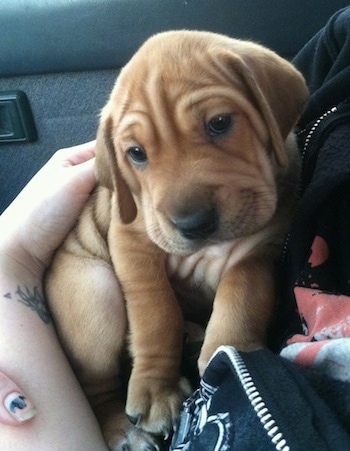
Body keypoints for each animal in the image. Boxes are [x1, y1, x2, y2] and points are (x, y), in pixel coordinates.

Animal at [45, 30, 308, 450]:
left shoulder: (261, 249)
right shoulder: (131, 241)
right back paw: (123, 431)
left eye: (219, 123)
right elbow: (156, 312)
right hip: (94, 293)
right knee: (94, 388)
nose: (194, 223)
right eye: (136, 154)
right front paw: (157, 387)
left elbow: (242, 293)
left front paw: (226, 348)